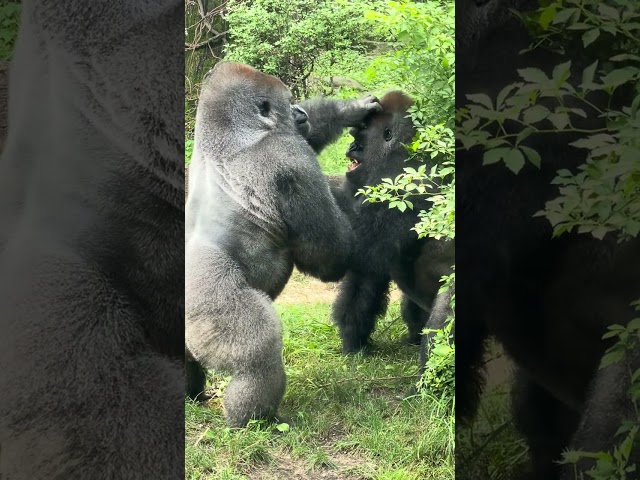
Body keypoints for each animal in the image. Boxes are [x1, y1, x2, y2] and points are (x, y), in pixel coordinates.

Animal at [188, 62, 382, 426]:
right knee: (258, 351)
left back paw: (191, 394)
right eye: (288, 102)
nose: (300, 112)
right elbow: (326, 253)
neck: (227, 135)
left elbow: (314, 133)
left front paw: (351, 109)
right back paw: (252, 417)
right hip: (206, 306)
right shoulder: (286, 154)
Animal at [330, 93, 456, 356]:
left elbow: (356, 249)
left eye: (360, 137)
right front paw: (354, 341)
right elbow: (366, 276)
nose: (351, 147)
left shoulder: (402, 188)